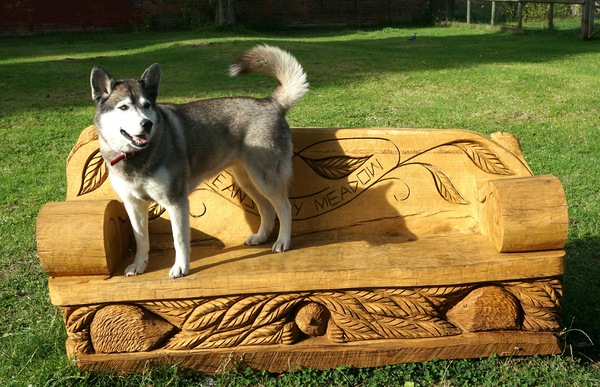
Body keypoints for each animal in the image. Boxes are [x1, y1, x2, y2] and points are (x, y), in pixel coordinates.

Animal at [91, 45, 312, 278]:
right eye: (124, 107)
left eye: (146, 105)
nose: (147, 124)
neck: (135, 157)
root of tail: (270, 103)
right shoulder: (133, 204)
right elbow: (141, 239)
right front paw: (139, 265)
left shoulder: (176, 201)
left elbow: (179, 240)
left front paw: (180, 267)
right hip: (248, 180)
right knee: (267, 209)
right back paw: (260, 236)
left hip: (265, 178)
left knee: (284, 207)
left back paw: (283, 242)